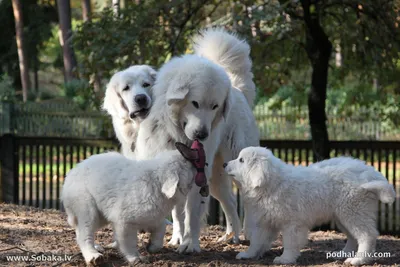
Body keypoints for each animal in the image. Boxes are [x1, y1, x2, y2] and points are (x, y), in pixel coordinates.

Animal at [61, 142, 202, 266]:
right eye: (186, 164)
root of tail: (71, 173)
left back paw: (96, 248)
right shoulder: (124, 222)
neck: (156, 182)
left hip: (100, 215)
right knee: (84, 234)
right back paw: (93, 256)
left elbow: (161, 228)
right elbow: (128, 242)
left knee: (82, 230)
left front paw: (152, 246)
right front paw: (135, 258)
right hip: (87, 207)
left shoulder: (153, 216)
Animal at [134, 28, 260, 254]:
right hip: (218, 178)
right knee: (229, 203)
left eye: (215, 106)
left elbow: (192, 214)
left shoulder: (198, 177)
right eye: (195, 103)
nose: (203, 135)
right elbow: (177, 213)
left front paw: (189, 244)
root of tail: (237, 90)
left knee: (247, 202)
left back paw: (248, 234)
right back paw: (231, 236)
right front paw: (176, 239)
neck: (176, 136)